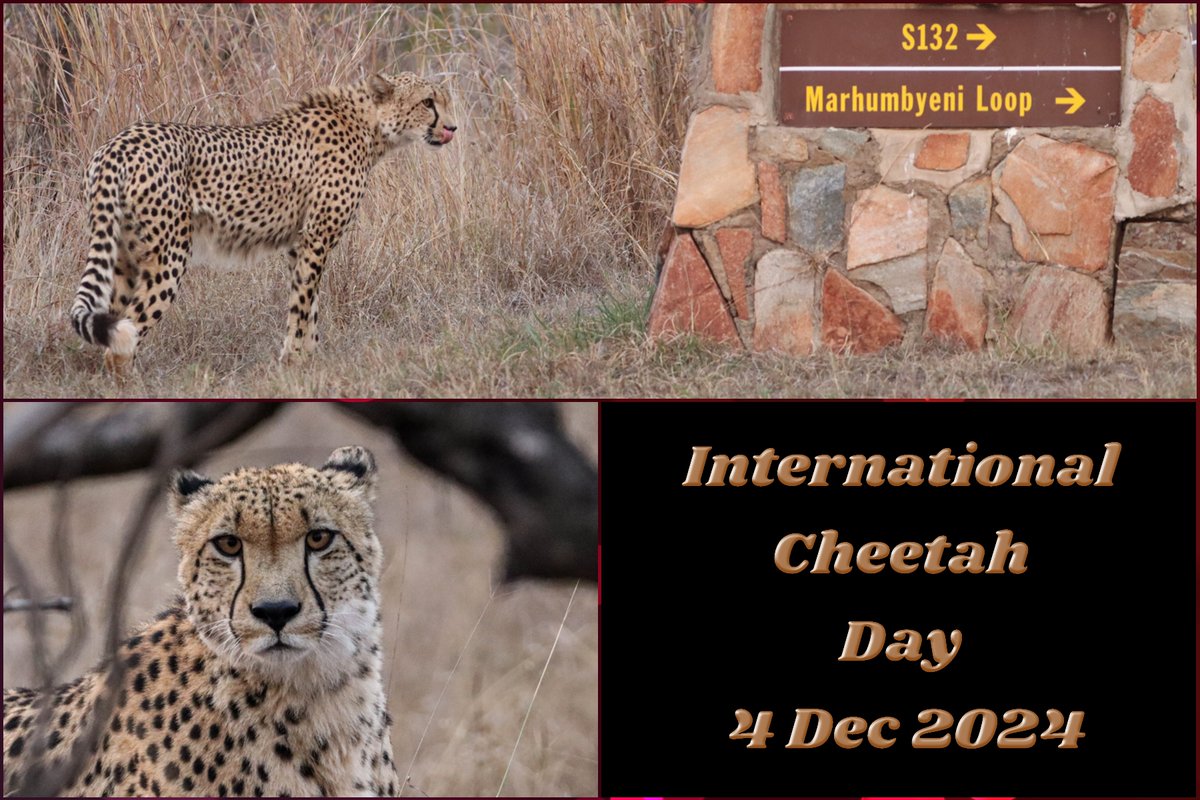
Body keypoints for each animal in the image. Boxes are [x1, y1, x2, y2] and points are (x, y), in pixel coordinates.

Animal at [67, 72, 456, 371]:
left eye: (444, 100)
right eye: (427, 102)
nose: (452, 128)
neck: (369, 125)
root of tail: (118, 143)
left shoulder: (299, 242)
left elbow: (308, 303)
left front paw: (309, 358)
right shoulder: (316, 237)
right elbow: (303, 304)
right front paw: (295, 361)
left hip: (124, 257)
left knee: (113, 327)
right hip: (168, 256)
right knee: (125, 338)